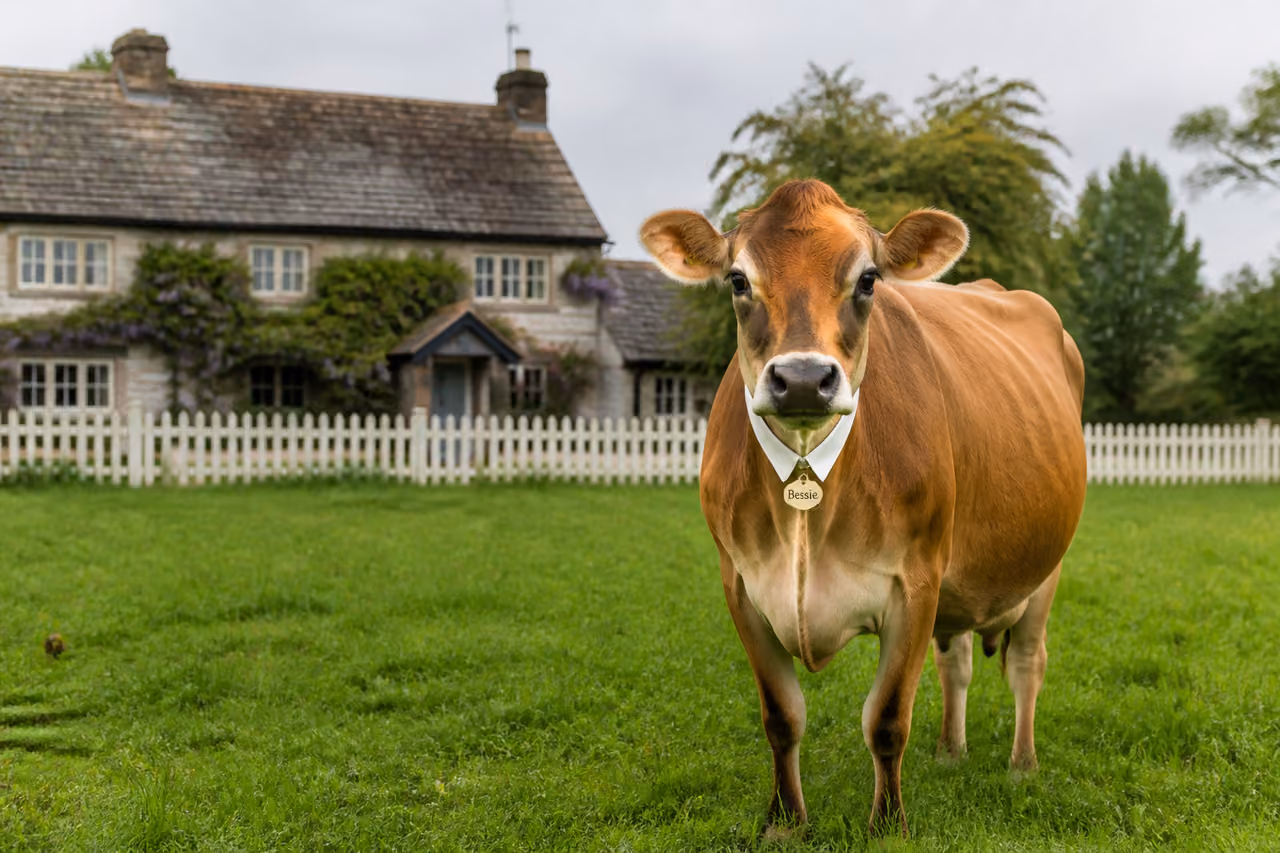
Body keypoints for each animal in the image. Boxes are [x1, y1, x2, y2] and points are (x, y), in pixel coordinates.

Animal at [639, 180, 1087, 838]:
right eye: (738, 280)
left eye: (869, 279)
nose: (803, 379)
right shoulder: (741, 586)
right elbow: (781, 717)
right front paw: (784, 820)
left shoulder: (916, 582)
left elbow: (887, 719)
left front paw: (888, 824)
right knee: (956, 661)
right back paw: (950, 752)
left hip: (1045, 565)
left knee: (1028, 662)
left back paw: (1022, 765)